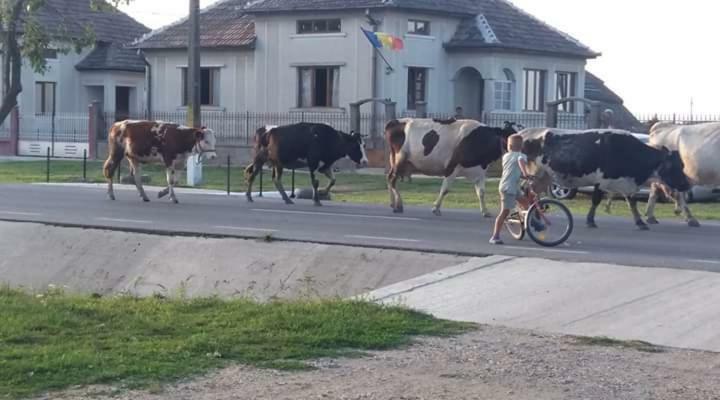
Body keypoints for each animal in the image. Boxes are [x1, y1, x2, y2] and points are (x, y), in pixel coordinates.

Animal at [382, 118, 516, 216]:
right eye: (511, 138)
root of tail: (395, 122)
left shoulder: (480, 171)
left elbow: (481, 192)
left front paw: (485, 211)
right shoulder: (452, 167)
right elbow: (445, 189)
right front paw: (436, 208)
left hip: (396, 160)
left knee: (389, 178)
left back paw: (393, 203)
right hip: (400, 159)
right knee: (392, 179)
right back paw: (399, 205)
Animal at [520, 127, 688, 228]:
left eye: (682, 164)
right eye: (673, 166)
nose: (686, 184)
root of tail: (524, 132)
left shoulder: (624, 182)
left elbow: (631, 202)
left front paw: (640, 222)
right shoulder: (601, 181)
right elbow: (596, 200)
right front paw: (590, 221)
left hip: (543, 176)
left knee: (531, 193)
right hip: (534, 173)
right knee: (527, 191)